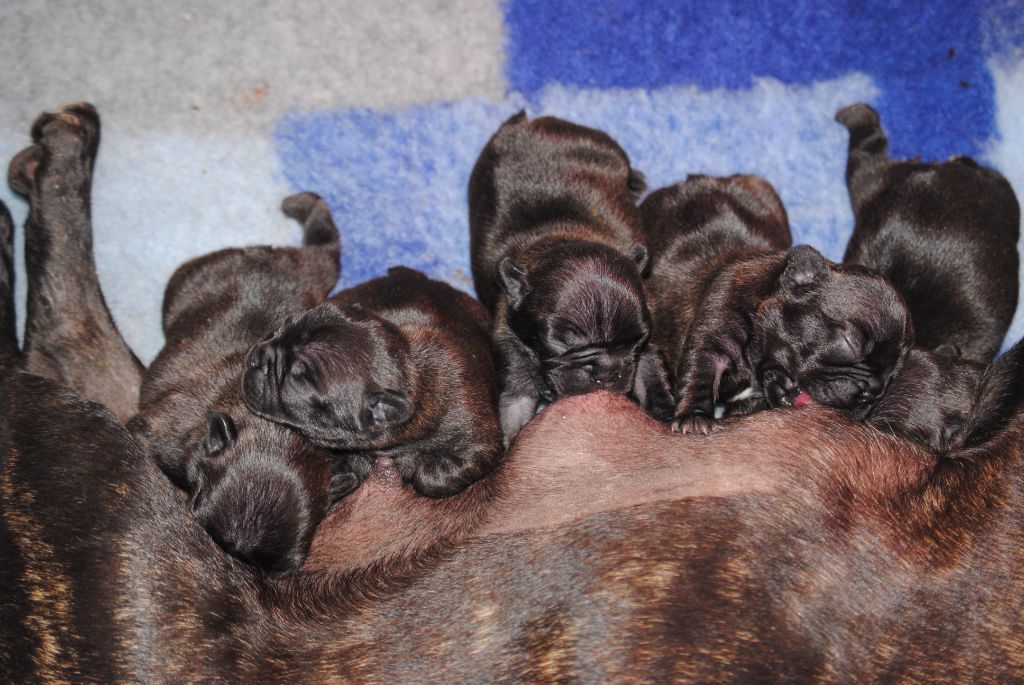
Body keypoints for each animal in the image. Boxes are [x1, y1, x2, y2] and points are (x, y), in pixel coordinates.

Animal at [240, 268, 503, 501]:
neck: (412, 376)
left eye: (295, 381)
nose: (255, 356)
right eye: (279, 328)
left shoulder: (479, 443)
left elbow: (432, 477)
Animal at [468, 111, 675, 444]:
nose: (607, 371)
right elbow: (515, 407)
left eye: (636, 339)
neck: (562, 236)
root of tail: (530, 121)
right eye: (562, 342)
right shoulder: (510, 349)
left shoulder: (647, 346)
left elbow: (651, 377)